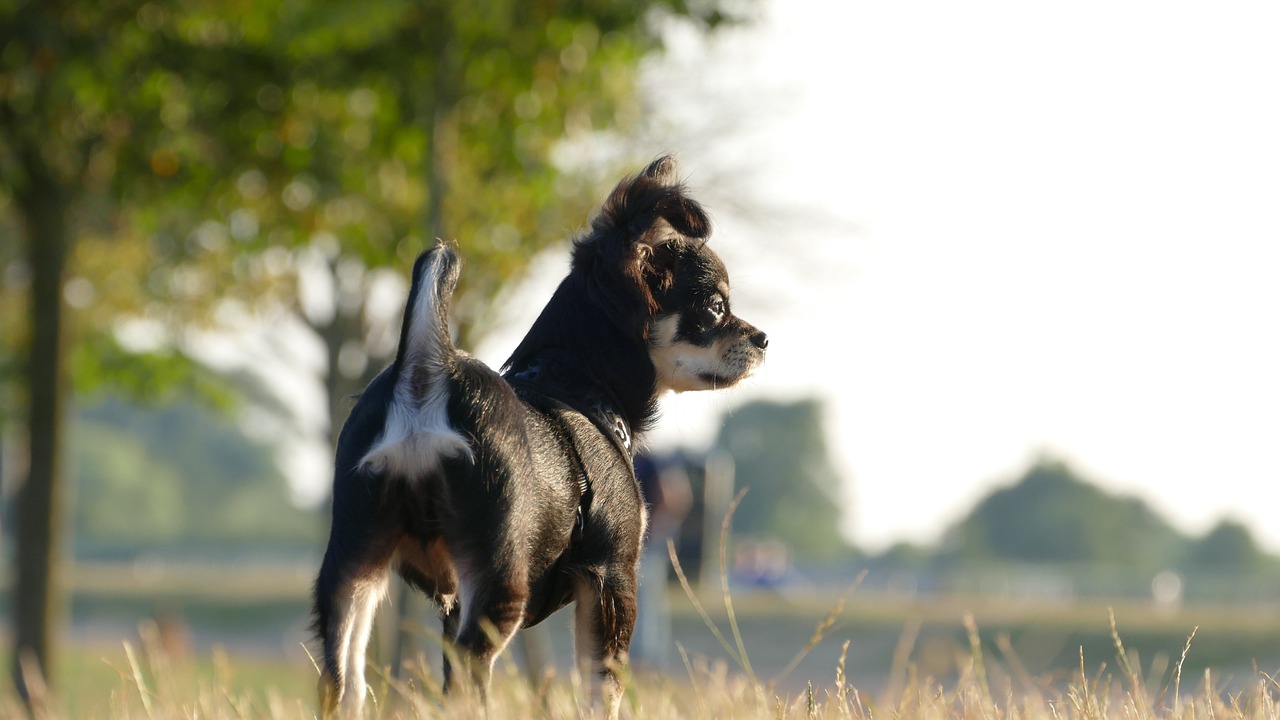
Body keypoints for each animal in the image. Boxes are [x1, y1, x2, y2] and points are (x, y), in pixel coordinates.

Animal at [309, 154, 768, 712]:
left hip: (353, 568)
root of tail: (425, 372)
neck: (575, 385)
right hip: (497, 583)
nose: (763, 339)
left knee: (344, 682)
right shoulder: (612, 580)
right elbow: (602, 691)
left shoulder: (448, 601)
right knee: (470, 675)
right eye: (715, 308)